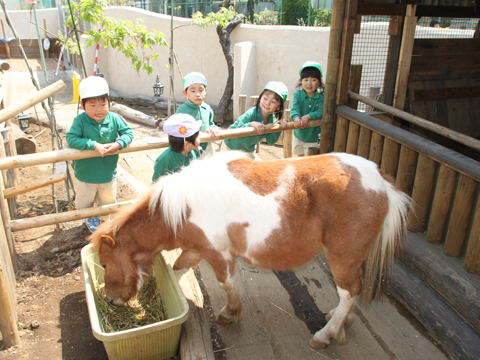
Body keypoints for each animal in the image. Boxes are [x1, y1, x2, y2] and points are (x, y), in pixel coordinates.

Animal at [89, 150, 408, 348]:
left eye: (104, 264)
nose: (111, 300)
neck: (179, 208)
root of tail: (381, 182)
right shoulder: (196, 249)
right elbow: (179, 268)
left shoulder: (218, 255)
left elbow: (227, 284)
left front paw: (229, 313)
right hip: (354, 259)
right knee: (353, 292)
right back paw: (342, 321)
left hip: (342, 257)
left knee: (349, 292)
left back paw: (325, 335)